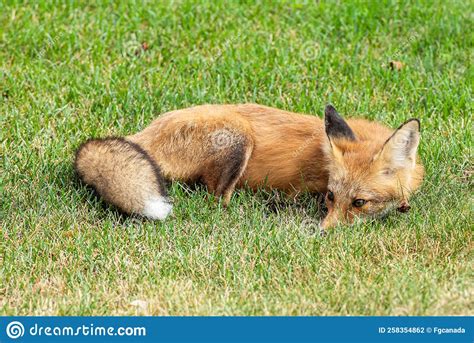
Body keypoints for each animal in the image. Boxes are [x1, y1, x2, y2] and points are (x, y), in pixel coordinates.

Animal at [76, 103, 424, 230]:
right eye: (331, 197)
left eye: (359, 202)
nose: (323, 233)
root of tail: (145, 133)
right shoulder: (303, 188)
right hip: (238, 138)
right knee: (217, 199)